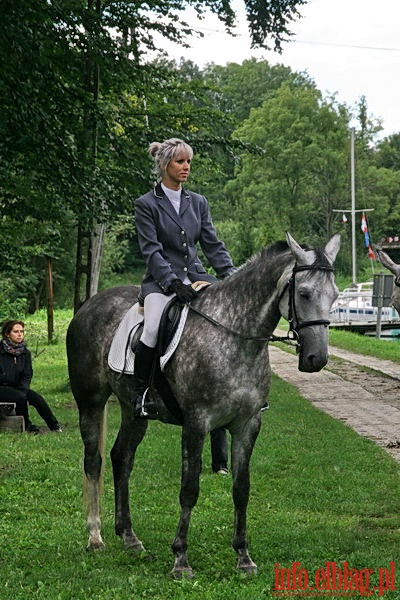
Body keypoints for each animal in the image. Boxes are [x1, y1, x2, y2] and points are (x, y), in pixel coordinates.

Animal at [66, 231, 340, 576]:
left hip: (133, 411)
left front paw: (243, 556)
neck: (234, 335)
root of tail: (88, 305)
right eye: (303, 293)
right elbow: (189, 490)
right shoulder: (197, 424)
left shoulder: (247, 425)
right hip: (90, 402)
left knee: (121, 458)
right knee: (94, 461)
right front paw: (180, 559)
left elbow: (241, 489)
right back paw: (95, 536)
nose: (317, 359)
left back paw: (129, 537)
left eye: (335, 296)